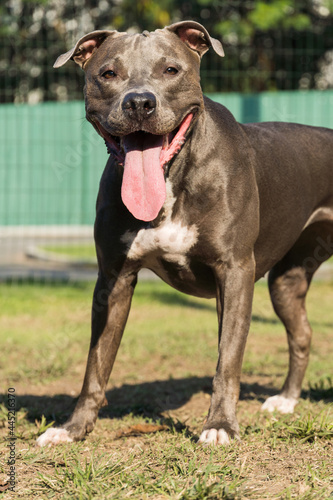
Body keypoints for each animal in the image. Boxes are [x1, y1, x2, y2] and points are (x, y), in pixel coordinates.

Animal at [37, 21, 332, 448]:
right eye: (108, 73)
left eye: (171, 70)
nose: (139, 103)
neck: (172, 176)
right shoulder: (113, 279)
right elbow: (96, 363)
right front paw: (73, 427)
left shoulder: (235, 272)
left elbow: (228, 358)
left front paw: (220, 424)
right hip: (286, 282)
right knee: (303, 333)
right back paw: (288, 399)